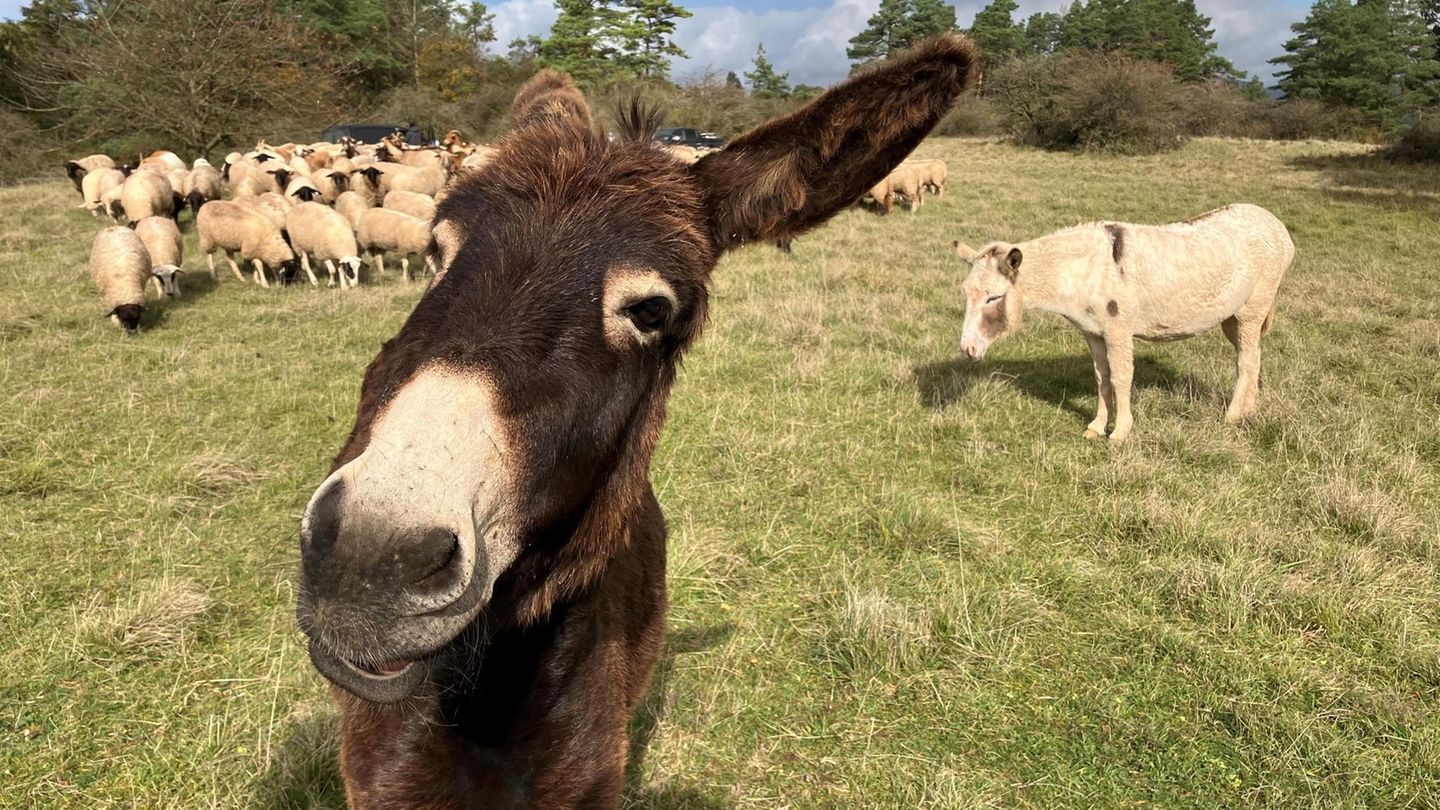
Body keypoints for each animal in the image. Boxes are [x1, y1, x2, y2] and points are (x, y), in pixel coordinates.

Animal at [956, 201, 1296, 441]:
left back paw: (1233, 416)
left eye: (992, 298)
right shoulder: (1092, 332)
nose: (967, 350)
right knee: (1253, 354)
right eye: (966, 294)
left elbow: (1121, 378)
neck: (1085, 271)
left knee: (1245, 361)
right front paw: (1095, 427)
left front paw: (1119, 433)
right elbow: (1101, 378)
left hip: (1254, 306)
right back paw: (1250, 409)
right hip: (1232, 317)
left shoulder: (1118, 329)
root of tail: (1275, 223)